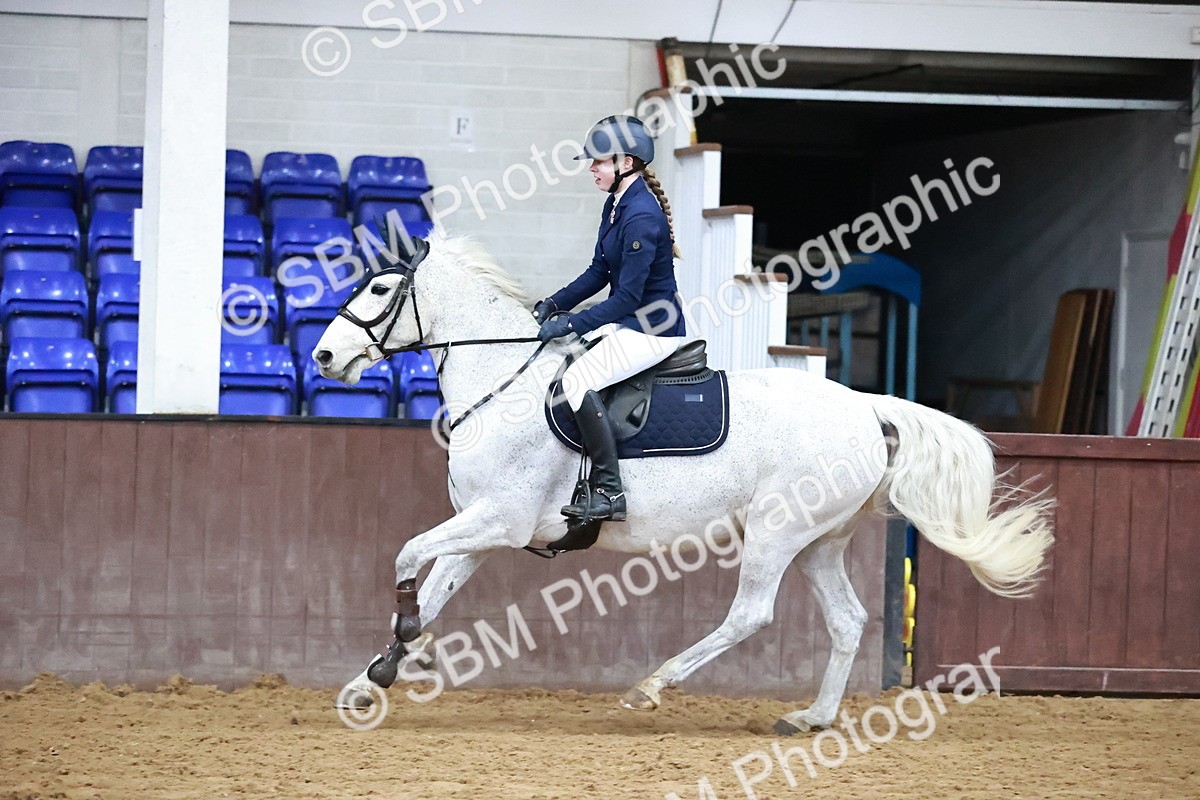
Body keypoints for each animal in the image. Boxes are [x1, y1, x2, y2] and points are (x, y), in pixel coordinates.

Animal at [313, 231, 1054, 734]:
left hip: (776, 531)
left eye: (378, 289)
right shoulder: (483, 530)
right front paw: (370, 680)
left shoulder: (501, 518)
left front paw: (396, 658)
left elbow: (406, 556)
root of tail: (865, 406)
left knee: (750, 613)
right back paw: (810, 717)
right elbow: (431, 592)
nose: (323, 355)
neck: (504, 385)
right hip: (819, 541)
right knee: (845, 621)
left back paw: (652, 686)